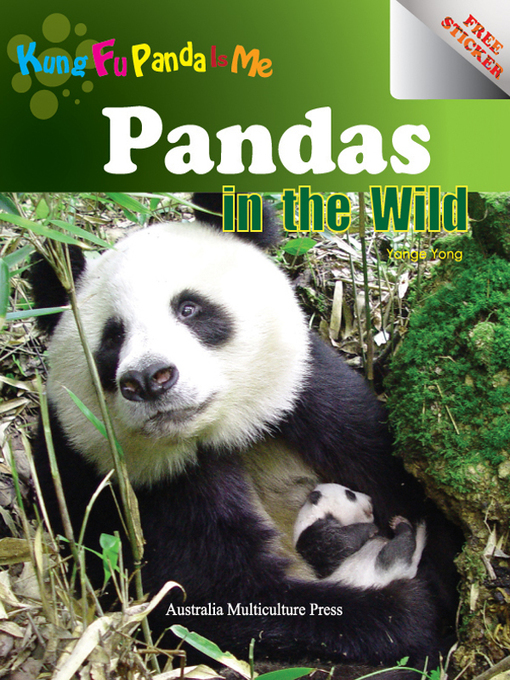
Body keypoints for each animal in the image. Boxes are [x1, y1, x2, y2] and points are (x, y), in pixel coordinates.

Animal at [294, 484, 427, 589]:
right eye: (350, 494)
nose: (370, 499)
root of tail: (408, 571)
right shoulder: (310, 538)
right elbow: (338, 542)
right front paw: (370, 529)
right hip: (381, 570)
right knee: (395, 551)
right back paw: (402, 526)